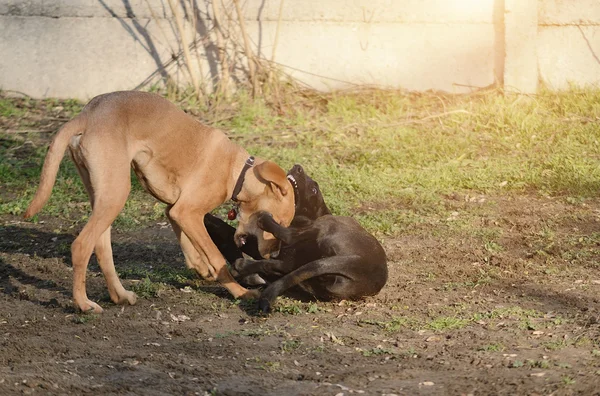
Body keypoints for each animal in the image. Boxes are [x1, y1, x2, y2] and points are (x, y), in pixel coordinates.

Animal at [23, 91, 296, 314]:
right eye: (275, 223)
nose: (273, 255)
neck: (237, 170)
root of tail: (87, 114)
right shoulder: (186, 212)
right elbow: (217, 257)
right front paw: (238, 291)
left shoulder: (175, 211)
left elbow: (189, 244)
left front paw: (201, 268)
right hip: (116, 194)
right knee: (81, 246)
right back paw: (83, 303)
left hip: (103, 196)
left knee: (101, 247)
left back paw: (120, 295)